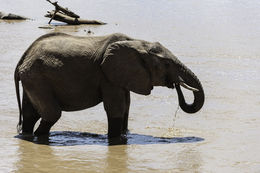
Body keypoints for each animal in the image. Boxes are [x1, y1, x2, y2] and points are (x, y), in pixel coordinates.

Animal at [14, 32, 205, 138]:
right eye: (166, 64)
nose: (176, 83)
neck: (136, 42)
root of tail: (22, 58)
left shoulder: (122, 77)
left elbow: (126, 106)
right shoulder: (107, 77)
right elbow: (116, 108)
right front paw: (115, 140)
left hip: (33, 78)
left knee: (31, 114)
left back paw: (28, 135)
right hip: (37, 78)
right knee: (52, 113)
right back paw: (39, 137)